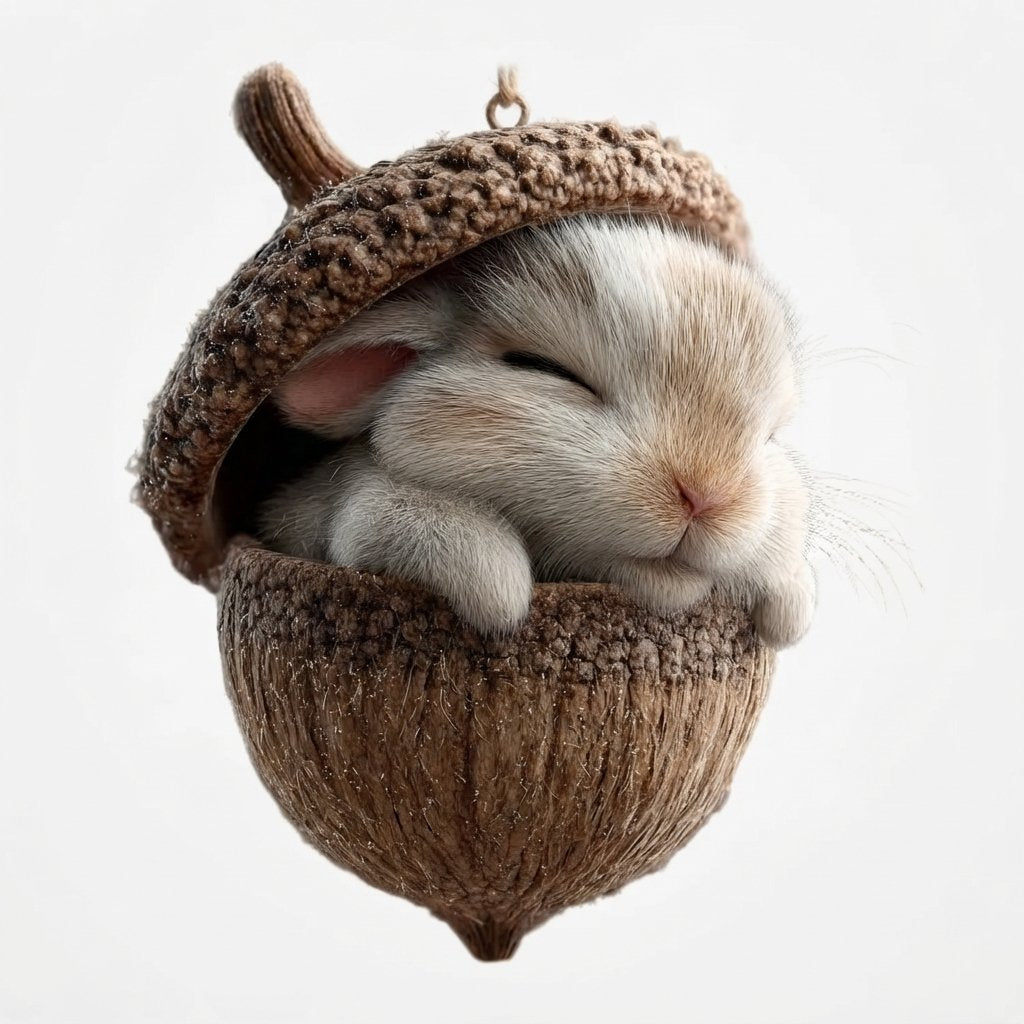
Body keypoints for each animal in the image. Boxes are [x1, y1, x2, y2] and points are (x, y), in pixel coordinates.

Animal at [256, 212, 816, 647]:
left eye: (770, 434)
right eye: (544, 368)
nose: (705, 496)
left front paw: (791, 601)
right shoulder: (355, 509)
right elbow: (398, 518)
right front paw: (496, 587)